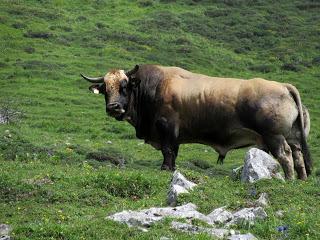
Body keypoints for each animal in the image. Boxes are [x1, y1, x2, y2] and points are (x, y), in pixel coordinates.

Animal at [80, 64, 312, 179]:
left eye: (124, 86)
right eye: (106, 88)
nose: (113, 107)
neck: (151, 87)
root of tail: (283, 86)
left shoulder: (167, 128)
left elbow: (168, 151)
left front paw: (165, 168)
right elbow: (174, 152)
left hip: (275, 137)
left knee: (285, 155)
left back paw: (289, 179)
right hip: (292, 137)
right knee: (298, 156)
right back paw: (301, 179)